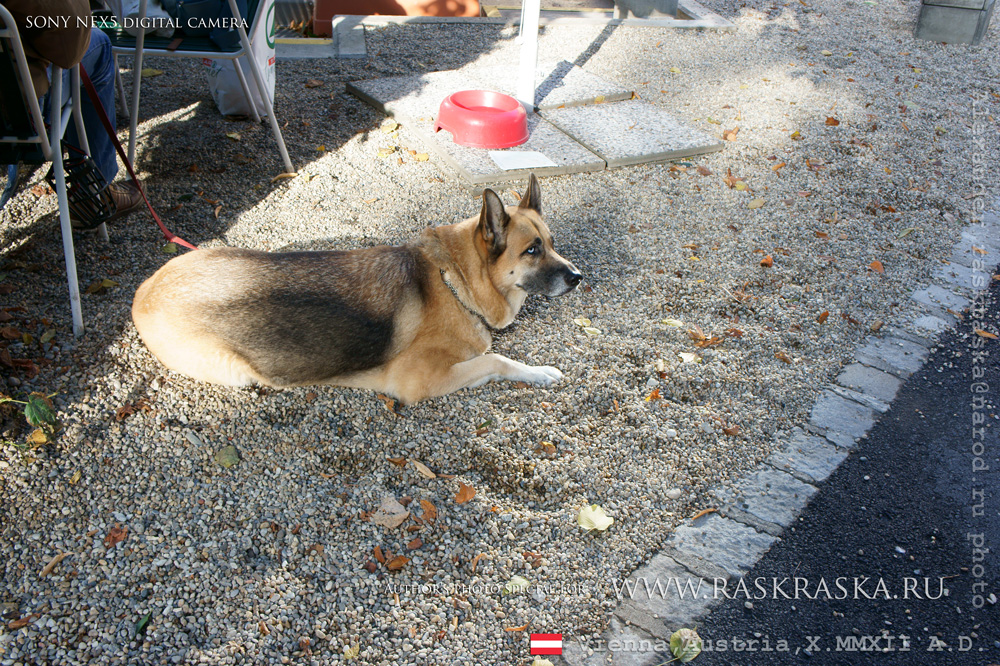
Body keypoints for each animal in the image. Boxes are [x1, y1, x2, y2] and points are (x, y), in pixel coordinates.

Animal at [134, 174, 584, 402]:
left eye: (553, 243)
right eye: (532, 250)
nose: (579, 277)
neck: (453, 283)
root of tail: (145, 291)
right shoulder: (419, 380)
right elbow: (496, 360)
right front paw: (538, 371)